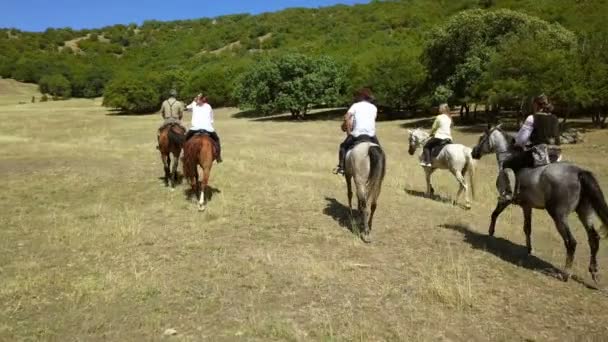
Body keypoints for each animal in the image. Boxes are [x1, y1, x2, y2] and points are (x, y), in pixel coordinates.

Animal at [472, 124, 608, 282]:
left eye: (482, 138)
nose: (474, 153)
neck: (507, 157)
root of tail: (579, 173)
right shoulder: (527, 206)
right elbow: (527, 228)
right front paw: (529, 249)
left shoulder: (505, 200)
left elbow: (494, 214)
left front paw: (490, 232)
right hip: (584, 212)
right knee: (594, 239)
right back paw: (594, 272)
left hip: (559, 216)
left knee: (571, 242)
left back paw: (565, 273)